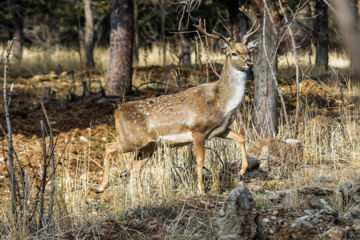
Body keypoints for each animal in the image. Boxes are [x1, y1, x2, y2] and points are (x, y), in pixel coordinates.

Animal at [95, 19, 258, 196]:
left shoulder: (220, 130)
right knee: (109, 147)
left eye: (249, 51)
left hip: (149, 145)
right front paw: (201, 190)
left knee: (135, 167)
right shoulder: (198, 129)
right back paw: (101, 187)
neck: (222, 102)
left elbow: (241, 137)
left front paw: (242, 171)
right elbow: (200, 160)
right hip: (131, 139)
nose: (250, 63)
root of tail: (117, 112)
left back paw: (142, 196)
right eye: (234, 53)